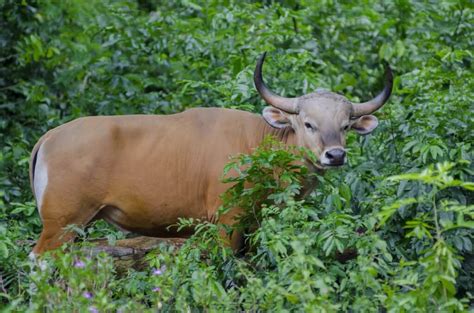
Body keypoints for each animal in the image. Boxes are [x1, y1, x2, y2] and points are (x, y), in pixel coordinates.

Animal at [28, 53, 392, 254]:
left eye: (345, 125)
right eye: (308, 123)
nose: (335, 155)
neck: (259, 147)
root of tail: (49, 137)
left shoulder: (255, 226)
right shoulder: (226, 222)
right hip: (61, 224)